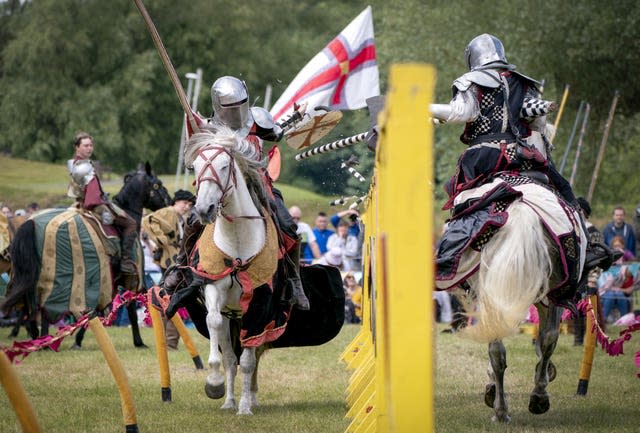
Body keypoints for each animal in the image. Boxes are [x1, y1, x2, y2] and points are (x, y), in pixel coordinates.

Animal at [1, 162, 170, 348]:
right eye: (158, 184)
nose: (169, 202)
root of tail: (30, 223)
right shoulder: (121, 278)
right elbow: (123, 308)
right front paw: (138, 341)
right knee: (40, 309)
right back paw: (43, 341)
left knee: (29, 309)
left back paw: (37, 339)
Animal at [185, 126, 276, 414]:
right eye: (196, 167)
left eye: (225, 166)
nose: (204, 209)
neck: (237, 239)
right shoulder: (215, 288)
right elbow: (213, 325)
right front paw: (214, 384)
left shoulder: (259, 303)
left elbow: (248, 359)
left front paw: (245, 407)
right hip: (230, 316)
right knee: (228, 355)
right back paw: (228, 401)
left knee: (252, 354)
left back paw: (250, 398)